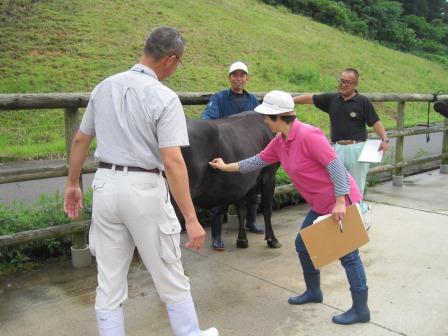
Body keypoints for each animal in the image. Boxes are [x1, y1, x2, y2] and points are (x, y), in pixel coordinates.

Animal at [175, 111, 280, 248]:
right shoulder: (269, 176)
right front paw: (272, 240)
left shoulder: (241, 184)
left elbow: (241, 211)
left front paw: (242, 240)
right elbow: (267, 210)